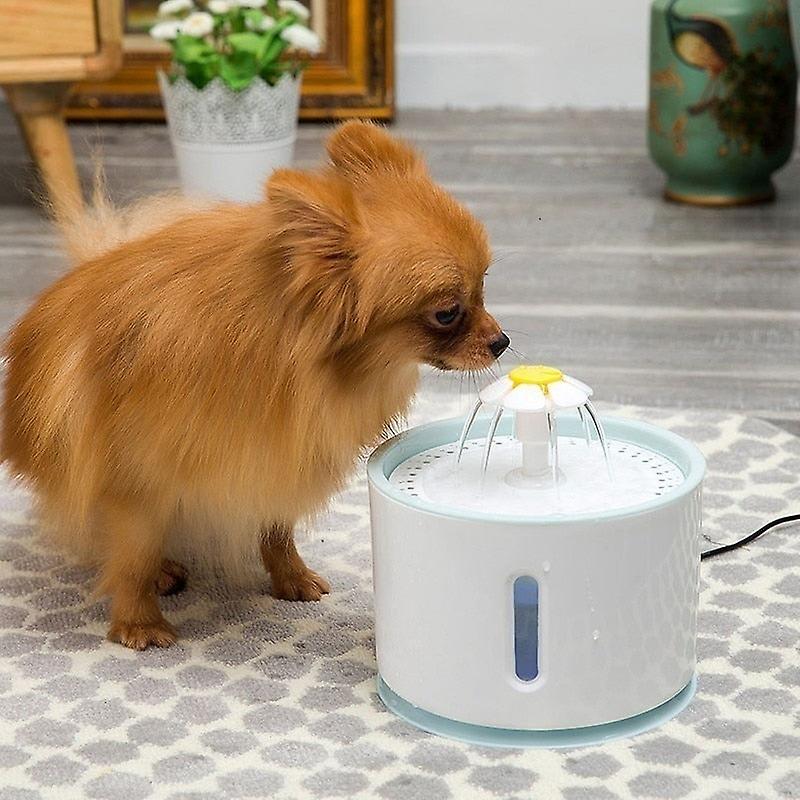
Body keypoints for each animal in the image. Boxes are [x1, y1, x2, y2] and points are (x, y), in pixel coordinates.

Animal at [1, 123, 506, 648]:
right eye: (447, 313)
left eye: (483, 288)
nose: (502, 341)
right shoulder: (136, 482)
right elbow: (132, 559)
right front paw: (137, 622)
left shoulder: (273, 459)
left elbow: (276, 531)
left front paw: (291, 578)